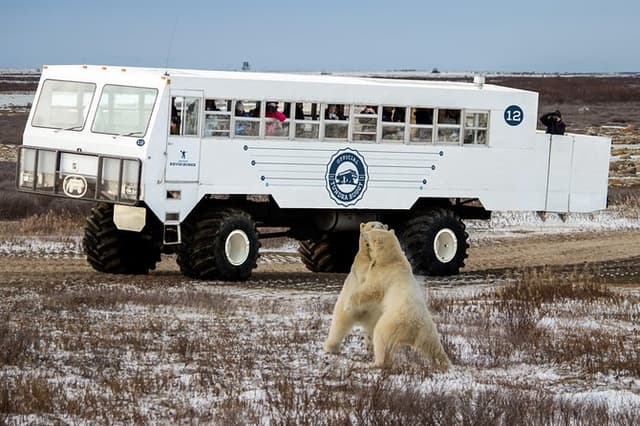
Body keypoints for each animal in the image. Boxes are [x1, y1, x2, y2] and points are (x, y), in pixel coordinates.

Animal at [323, 221, 388, 354]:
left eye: (381, 226)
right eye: (372, 225)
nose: (378, 230)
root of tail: (361, 317)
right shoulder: (361, 264)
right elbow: (365, 275)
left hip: (375, 314)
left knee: (372, 330)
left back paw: (372, 346)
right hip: (346, 307)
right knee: (338, 325)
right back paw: (331, 347)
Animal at [346, 228, 451, 370]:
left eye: (372, 231)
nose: (363, 233)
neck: (391, 259)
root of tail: (413, 326)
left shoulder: (383, 275)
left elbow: (370, 290)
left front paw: (348, 304)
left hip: (391, 323)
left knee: (380, 338)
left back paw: (375, 363)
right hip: (428, 330)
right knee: (432, 346)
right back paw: (445, 363)